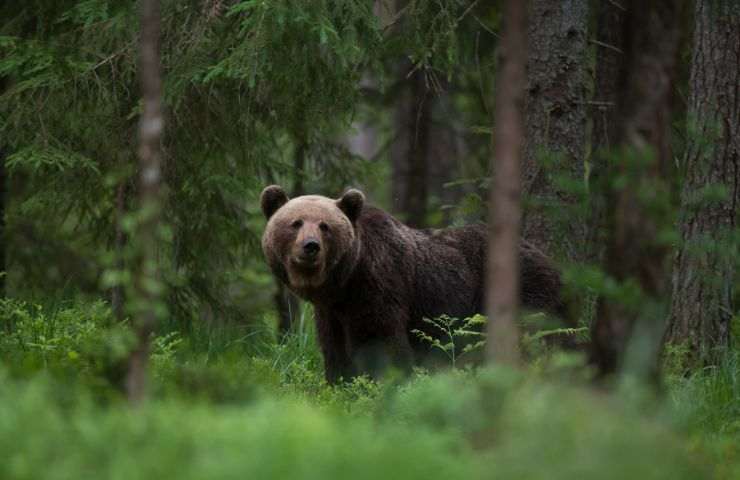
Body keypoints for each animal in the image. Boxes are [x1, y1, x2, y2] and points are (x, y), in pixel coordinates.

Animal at [264, 186, 568, 384]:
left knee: (532, 339)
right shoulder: (332, 312)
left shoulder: (378, 288)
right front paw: (340, 383)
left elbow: (380, 342)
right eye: (296, 223)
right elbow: (334, 348)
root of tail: (549, 260)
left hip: (525, 291)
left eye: (325, 226)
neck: (344, 282)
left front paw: (380, 383)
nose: (310, 246)